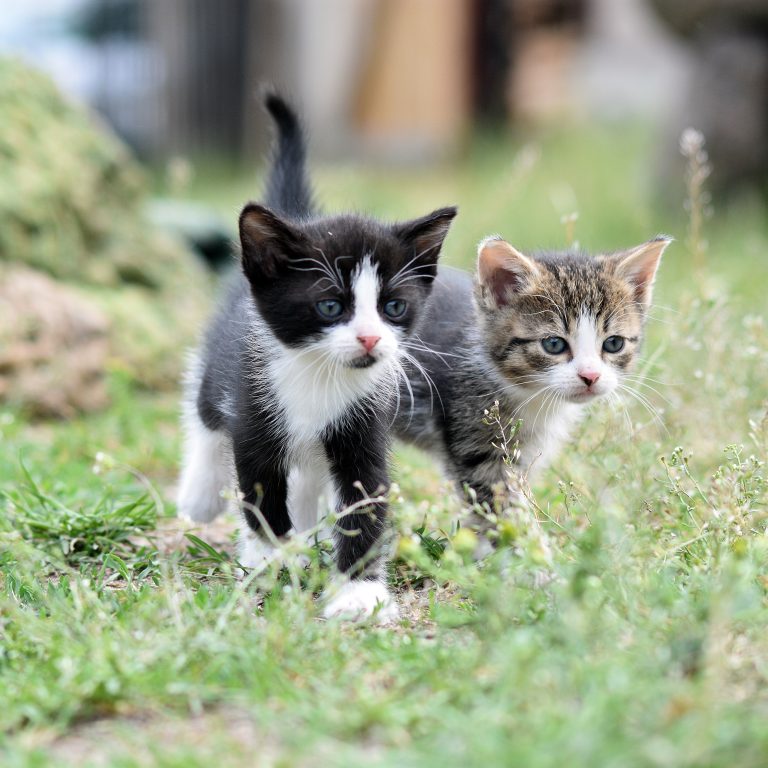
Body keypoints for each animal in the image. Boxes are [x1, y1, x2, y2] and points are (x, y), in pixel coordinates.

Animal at [178, 93, 456, 616]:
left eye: (393, 307)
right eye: (330, 306)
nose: (370, 339)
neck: (319, 376)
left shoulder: (363, 426)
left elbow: (364, 501)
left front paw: (358, 591)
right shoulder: (253, 415)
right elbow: (262, 498)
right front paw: (271, 561)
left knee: (307, 475)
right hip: (221, 371)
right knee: (203, 414)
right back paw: (200, 495)